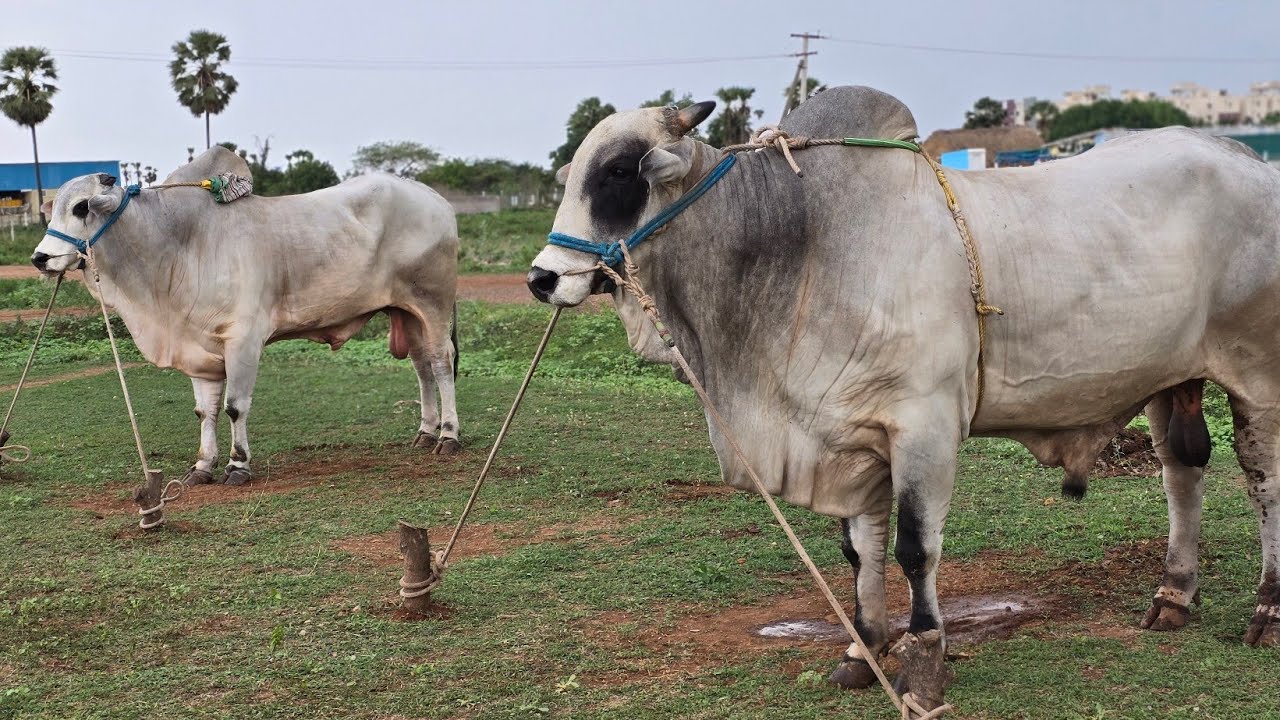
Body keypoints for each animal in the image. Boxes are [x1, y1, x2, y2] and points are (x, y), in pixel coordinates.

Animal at [31, 147, 461, 486]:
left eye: (81, 207)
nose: (40, 258)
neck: (178, 244)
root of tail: (436, 199)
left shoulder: (244, 340)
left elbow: (235, 405)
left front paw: (238, 465)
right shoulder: (198, 350)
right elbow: (204, 411)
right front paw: (202, 466)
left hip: (434, 305)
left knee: (441, 364)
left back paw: (448, 436)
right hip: (406, 312)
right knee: (422, 368)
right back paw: (425, 432)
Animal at [527, 86, 1280, 705]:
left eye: (618, 172)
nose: (541, 278)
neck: (797, 243)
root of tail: (1250, 162)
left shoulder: (925, 425)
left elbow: (916, 548)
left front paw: (924, 662)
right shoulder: (847, 433)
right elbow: (862, 551)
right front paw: (862, 650)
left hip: (1259, 373)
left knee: (1262, 480)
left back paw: (1266, 610)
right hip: (1170, 376)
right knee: (1182, 472)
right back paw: (1174, 596)